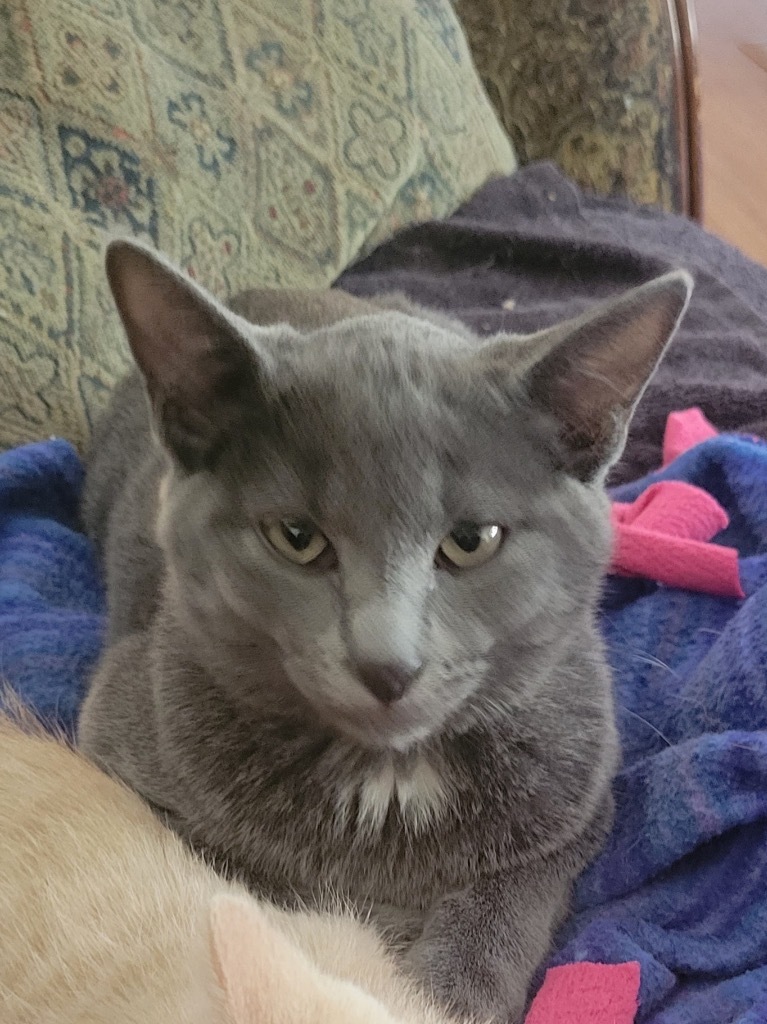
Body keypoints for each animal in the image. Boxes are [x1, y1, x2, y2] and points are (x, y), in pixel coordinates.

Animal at [79, 239, 692, 1024]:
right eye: (297, 538)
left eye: (472, 540)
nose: (387, 663)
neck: (389, 782)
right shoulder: (121, 750)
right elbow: (245, 882)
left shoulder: (579, 803)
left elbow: (506, 902)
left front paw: (448, 986)